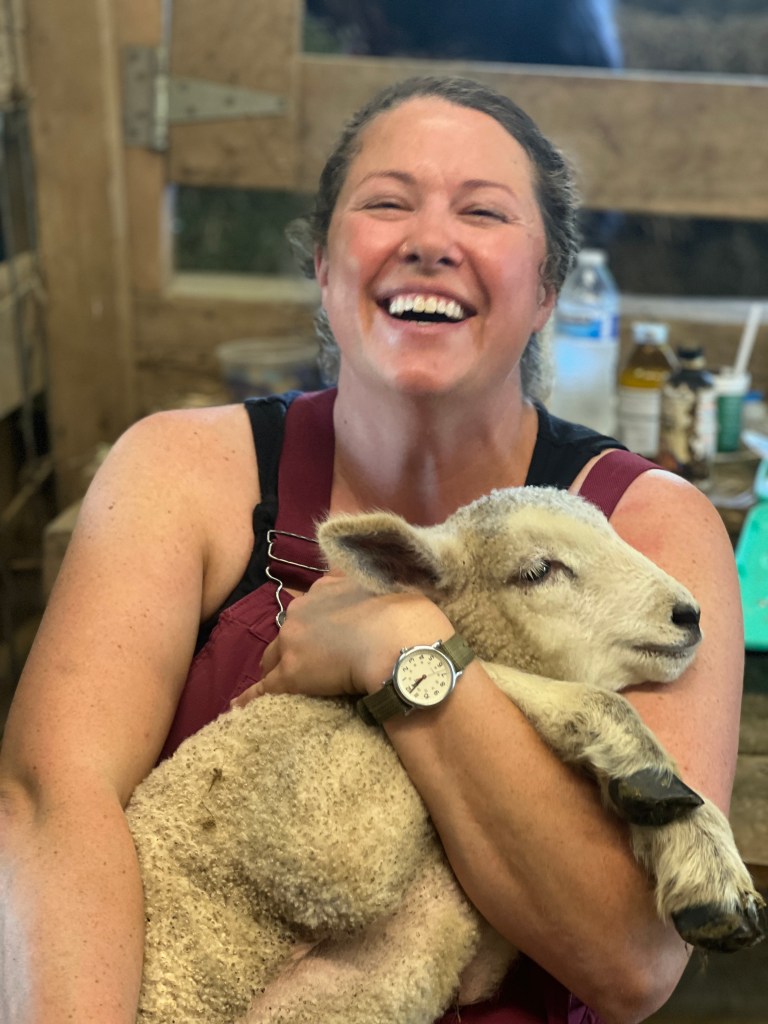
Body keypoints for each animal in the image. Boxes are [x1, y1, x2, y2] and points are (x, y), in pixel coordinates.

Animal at [126, 485, 765, 1024]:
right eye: (539, 571)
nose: (689, 614)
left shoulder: (481, 961)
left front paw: (702, 853)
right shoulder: (323, 842)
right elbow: (512, 678)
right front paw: (639, 759)